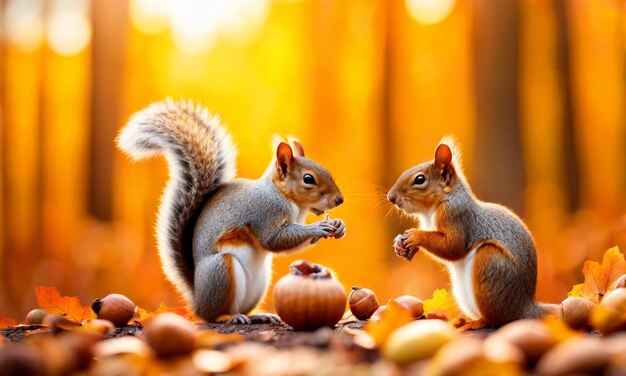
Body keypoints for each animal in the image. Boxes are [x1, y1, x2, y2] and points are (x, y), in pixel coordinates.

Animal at [114, 100, 344, 324]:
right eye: (308, 179)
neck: (285, 197)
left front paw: (339, 226)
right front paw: (318, 227)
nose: (339, 200)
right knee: (213, 315)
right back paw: (228, 316)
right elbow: (273, 240)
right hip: (220, 270)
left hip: (259, 282)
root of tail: (197, 299)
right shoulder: (266, 211)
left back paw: (258, 315)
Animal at [388, 138, 552, 326]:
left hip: (490, 264)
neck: (432, 210)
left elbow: (452, 247)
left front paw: (416, 235)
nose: (391, 197)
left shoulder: (456, 215)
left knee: (497, 318)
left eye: (420, 179)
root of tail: (524, 307)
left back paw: (475, 323)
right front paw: (400, 244)